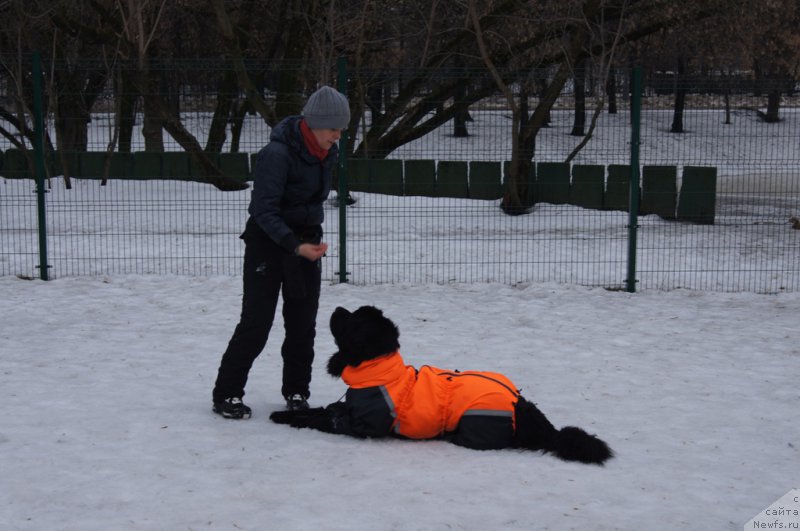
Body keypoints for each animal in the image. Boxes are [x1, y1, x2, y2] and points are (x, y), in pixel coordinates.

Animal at [272, 308, 616, 466]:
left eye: (353, 319)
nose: (338, 308)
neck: (379, 370)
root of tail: (524, 408)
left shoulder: (359, 425)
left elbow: (320, 419)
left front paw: (289, 418)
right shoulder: (345, 407)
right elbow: (320, 409)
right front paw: (285, 413)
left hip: (475, 425)